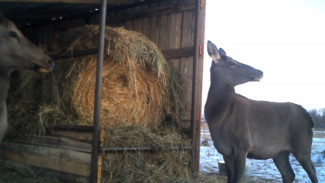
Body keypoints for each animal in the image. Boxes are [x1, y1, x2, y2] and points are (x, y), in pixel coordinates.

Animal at [205, 40, 316, 183]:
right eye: (231, 63)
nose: (260, 71)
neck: (218, 117)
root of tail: (308, 117)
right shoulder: (225, 151)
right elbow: (230, 178)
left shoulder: (243, 145)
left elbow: (237, 178)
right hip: (280, 152)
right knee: (288, 174)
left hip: (302, 145)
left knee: (312, 172)